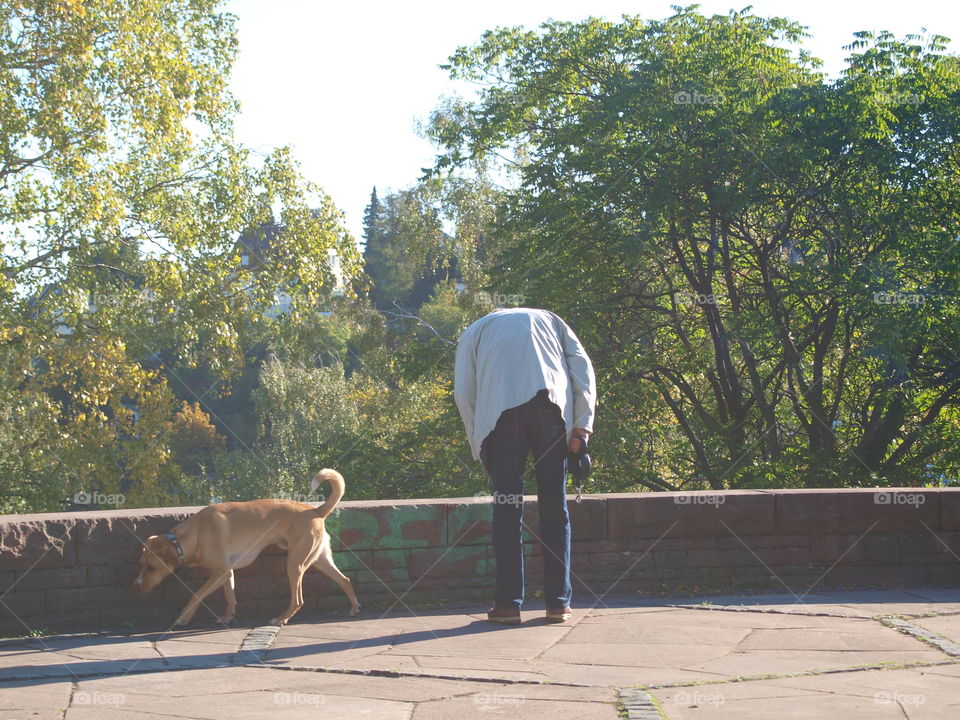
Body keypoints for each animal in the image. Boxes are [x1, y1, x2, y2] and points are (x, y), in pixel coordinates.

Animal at [132, 470, 360, 628]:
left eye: (151, 568)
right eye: (140, 565)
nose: (137, 587)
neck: (191, 537)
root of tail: (315, 511)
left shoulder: (220, 572)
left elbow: (196, 594)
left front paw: (182, 617)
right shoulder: (226, 572)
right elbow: (230, 595)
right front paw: (228, 616)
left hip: (294, 564)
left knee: (298, 600)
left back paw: (280, 619)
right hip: (319, 559)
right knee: (345, 580)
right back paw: (354, 608)